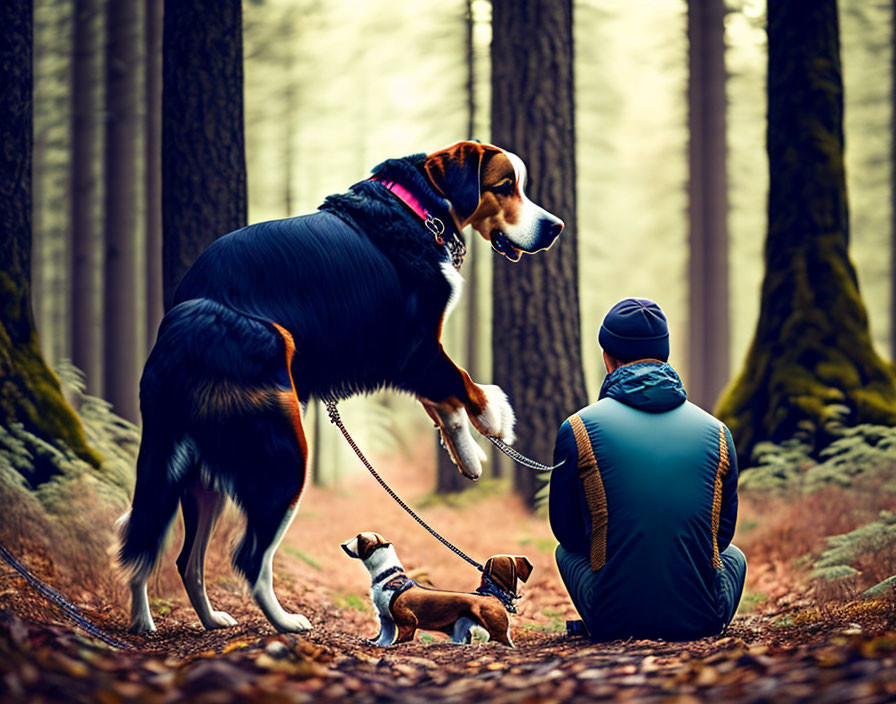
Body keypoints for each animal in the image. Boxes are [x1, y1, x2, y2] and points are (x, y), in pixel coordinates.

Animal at [119, 142, 564, 632]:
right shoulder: (415, 349)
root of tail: (181, 323)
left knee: (168, 550)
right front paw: (495, 419)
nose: (556, 227)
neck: (419, 208)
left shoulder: (416, 359)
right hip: (284, 453)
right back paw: (285, 622)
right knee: (248, 559)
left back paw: (168, 620)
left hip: (190, 473)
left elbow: (445, 403)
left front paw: (466, 455)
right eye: (504, 186)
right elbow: (463, 383)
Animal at [340, 532, 528, 648]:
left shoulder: (407, 621)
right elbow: (384, 637)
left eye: (359, 539)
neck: (388, 577)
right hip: (461, 628)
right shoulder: (386, 619)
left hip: (498, 631)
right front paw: (376, 644)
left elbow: (400, 638)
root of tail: (492, 596)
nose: (342, 544)